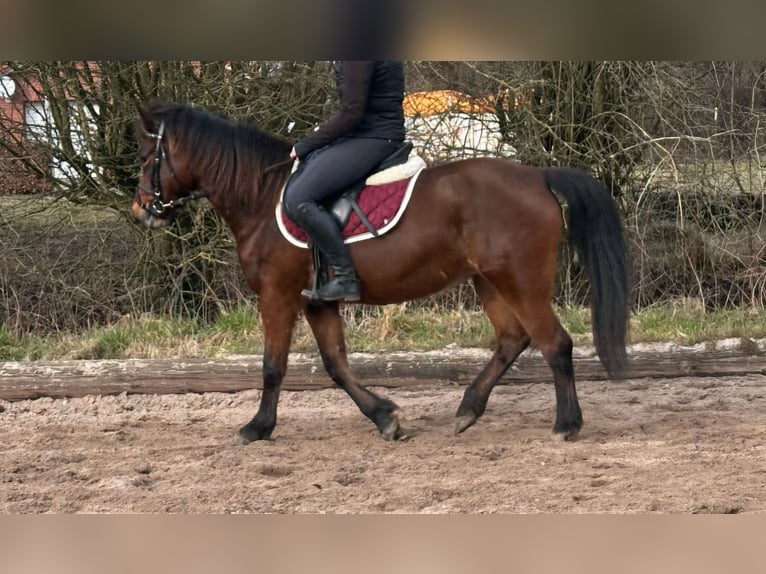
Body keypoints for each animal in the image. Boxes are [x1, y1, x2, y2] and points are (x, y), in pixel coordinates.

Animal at [132, 102, 632, 446]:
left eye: (145, 155)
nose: (141, 210)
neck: (261, 195)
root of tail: (537, 175)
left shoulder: (277, 295)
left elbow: (274, 366)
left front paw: (257, 427)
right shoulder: (317, 301)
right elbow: (335, 366)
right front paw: (386, 418)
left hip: (520, 281)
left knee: (555, 344)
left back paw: (566, 424)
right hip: (489, 282)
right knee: (513, 340)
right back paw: (468, 410)